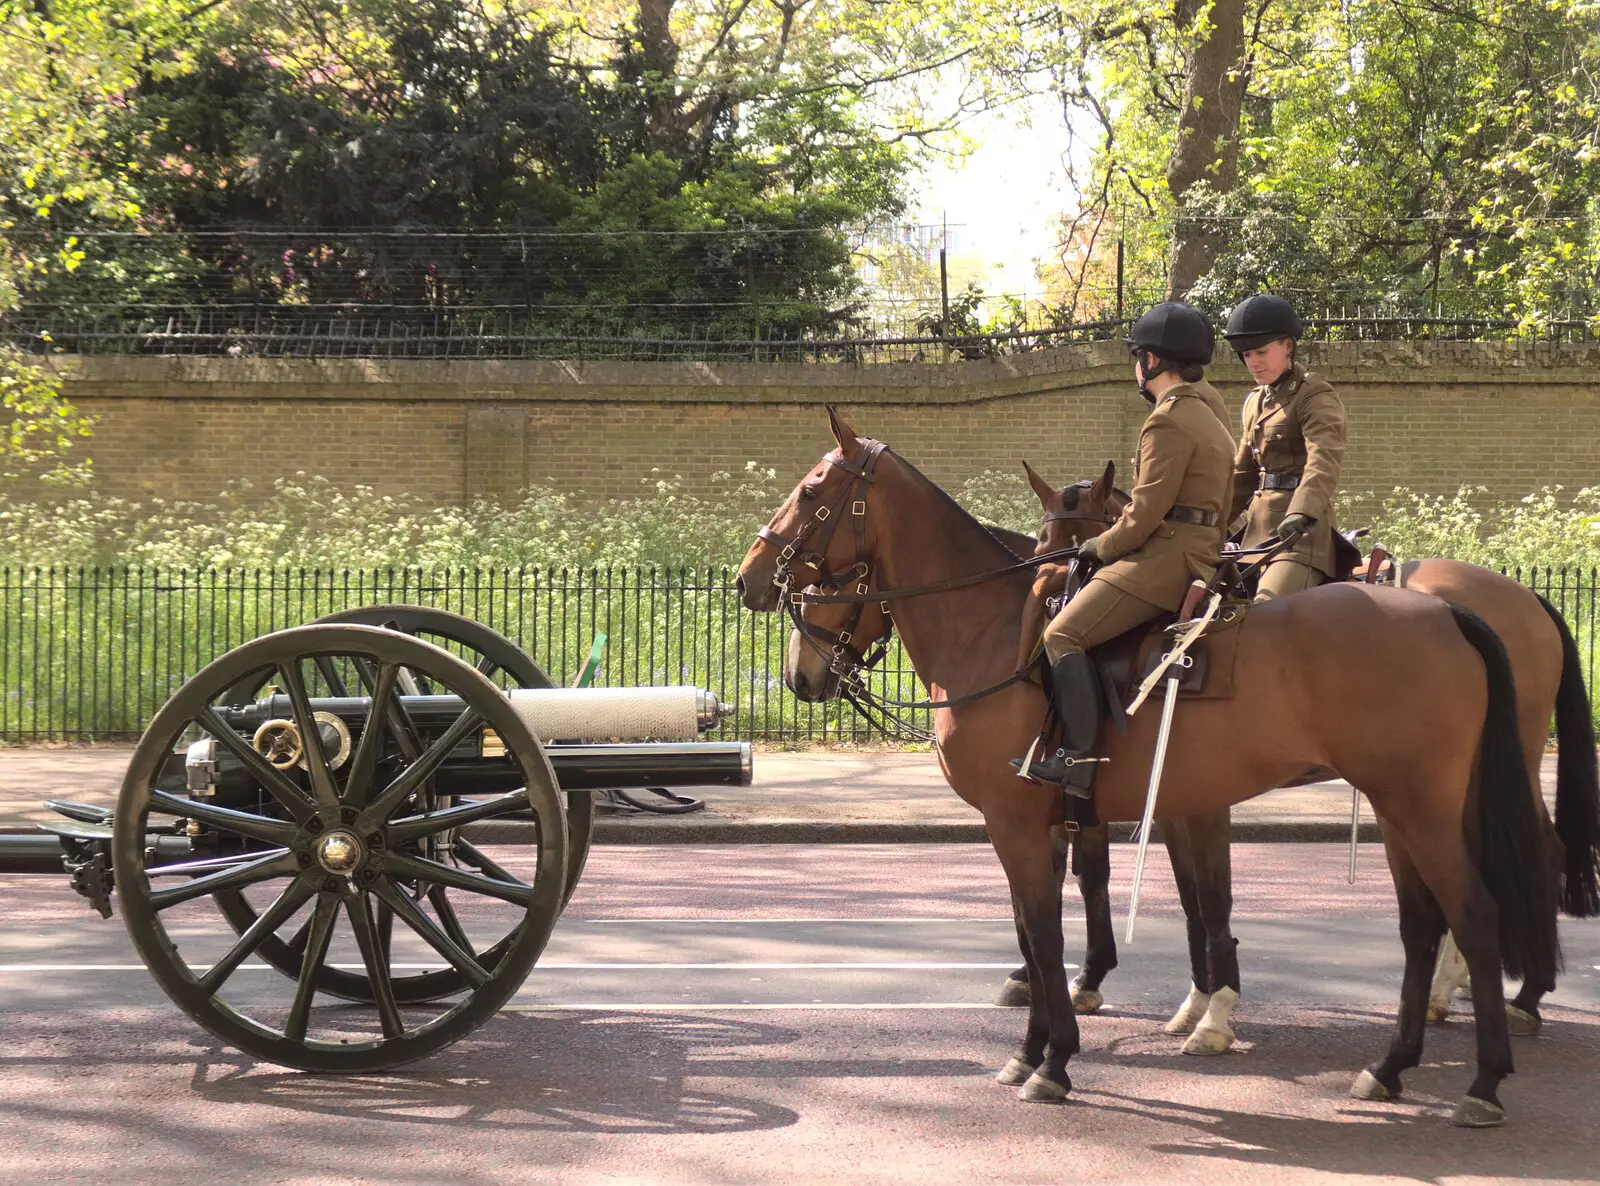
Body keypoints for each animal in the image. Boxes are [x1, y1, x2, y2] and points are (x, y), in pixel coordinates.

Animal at [745, 404, 1561, 1120]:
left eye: (811, 492)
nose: (751, 581)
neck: (996, 631)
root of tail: (1452, 609)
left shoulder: (1022, 821)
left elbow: (1051, 932)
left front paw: (1056, 1058)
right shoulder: (1079, 818)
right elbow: (1063, 921)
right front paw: (1057, 1037)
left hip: (1424, 805)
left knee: (1478, 912)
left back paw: (1487, 1077)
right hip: (1401, 808)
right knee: (1423, 924)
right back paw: (1392, 1066)